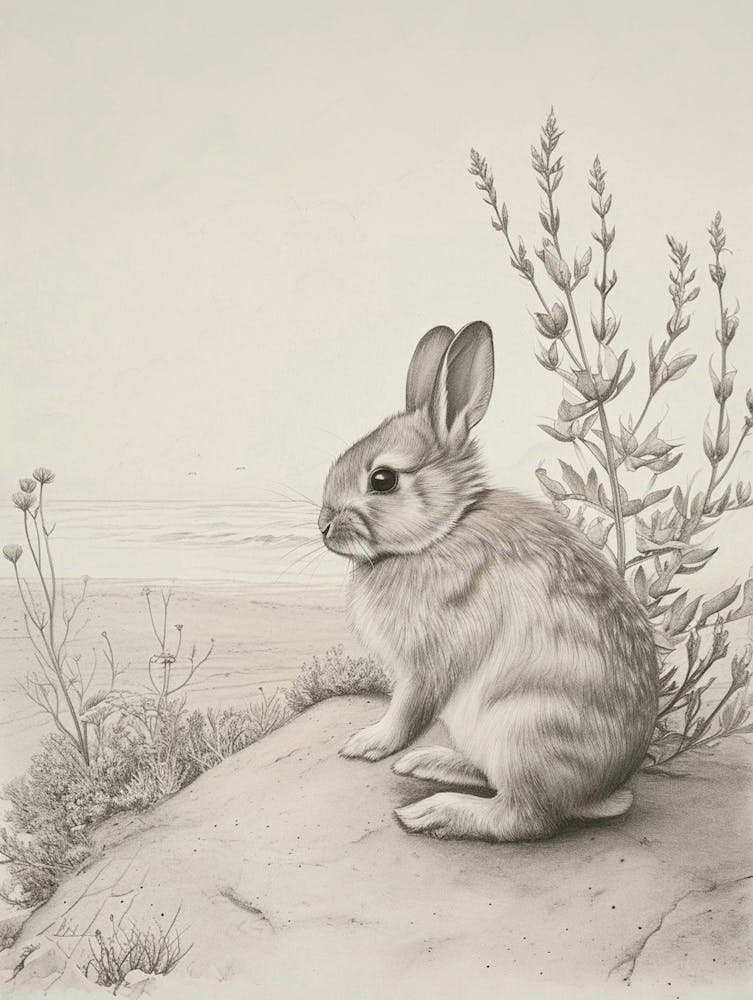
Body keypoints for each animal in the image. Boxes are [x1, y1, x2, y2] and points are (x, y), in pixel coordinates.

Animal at [318, 321, 658, 841]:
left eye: (382, 479)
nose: (322, 525)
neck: (442, 532)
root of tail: (601, 793)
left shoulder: (429, 662)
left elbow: (407, 710)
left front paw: (367, 743)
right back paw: (430, 763)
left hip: (523, 729)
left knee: (523, 817)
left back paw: (433, 812)